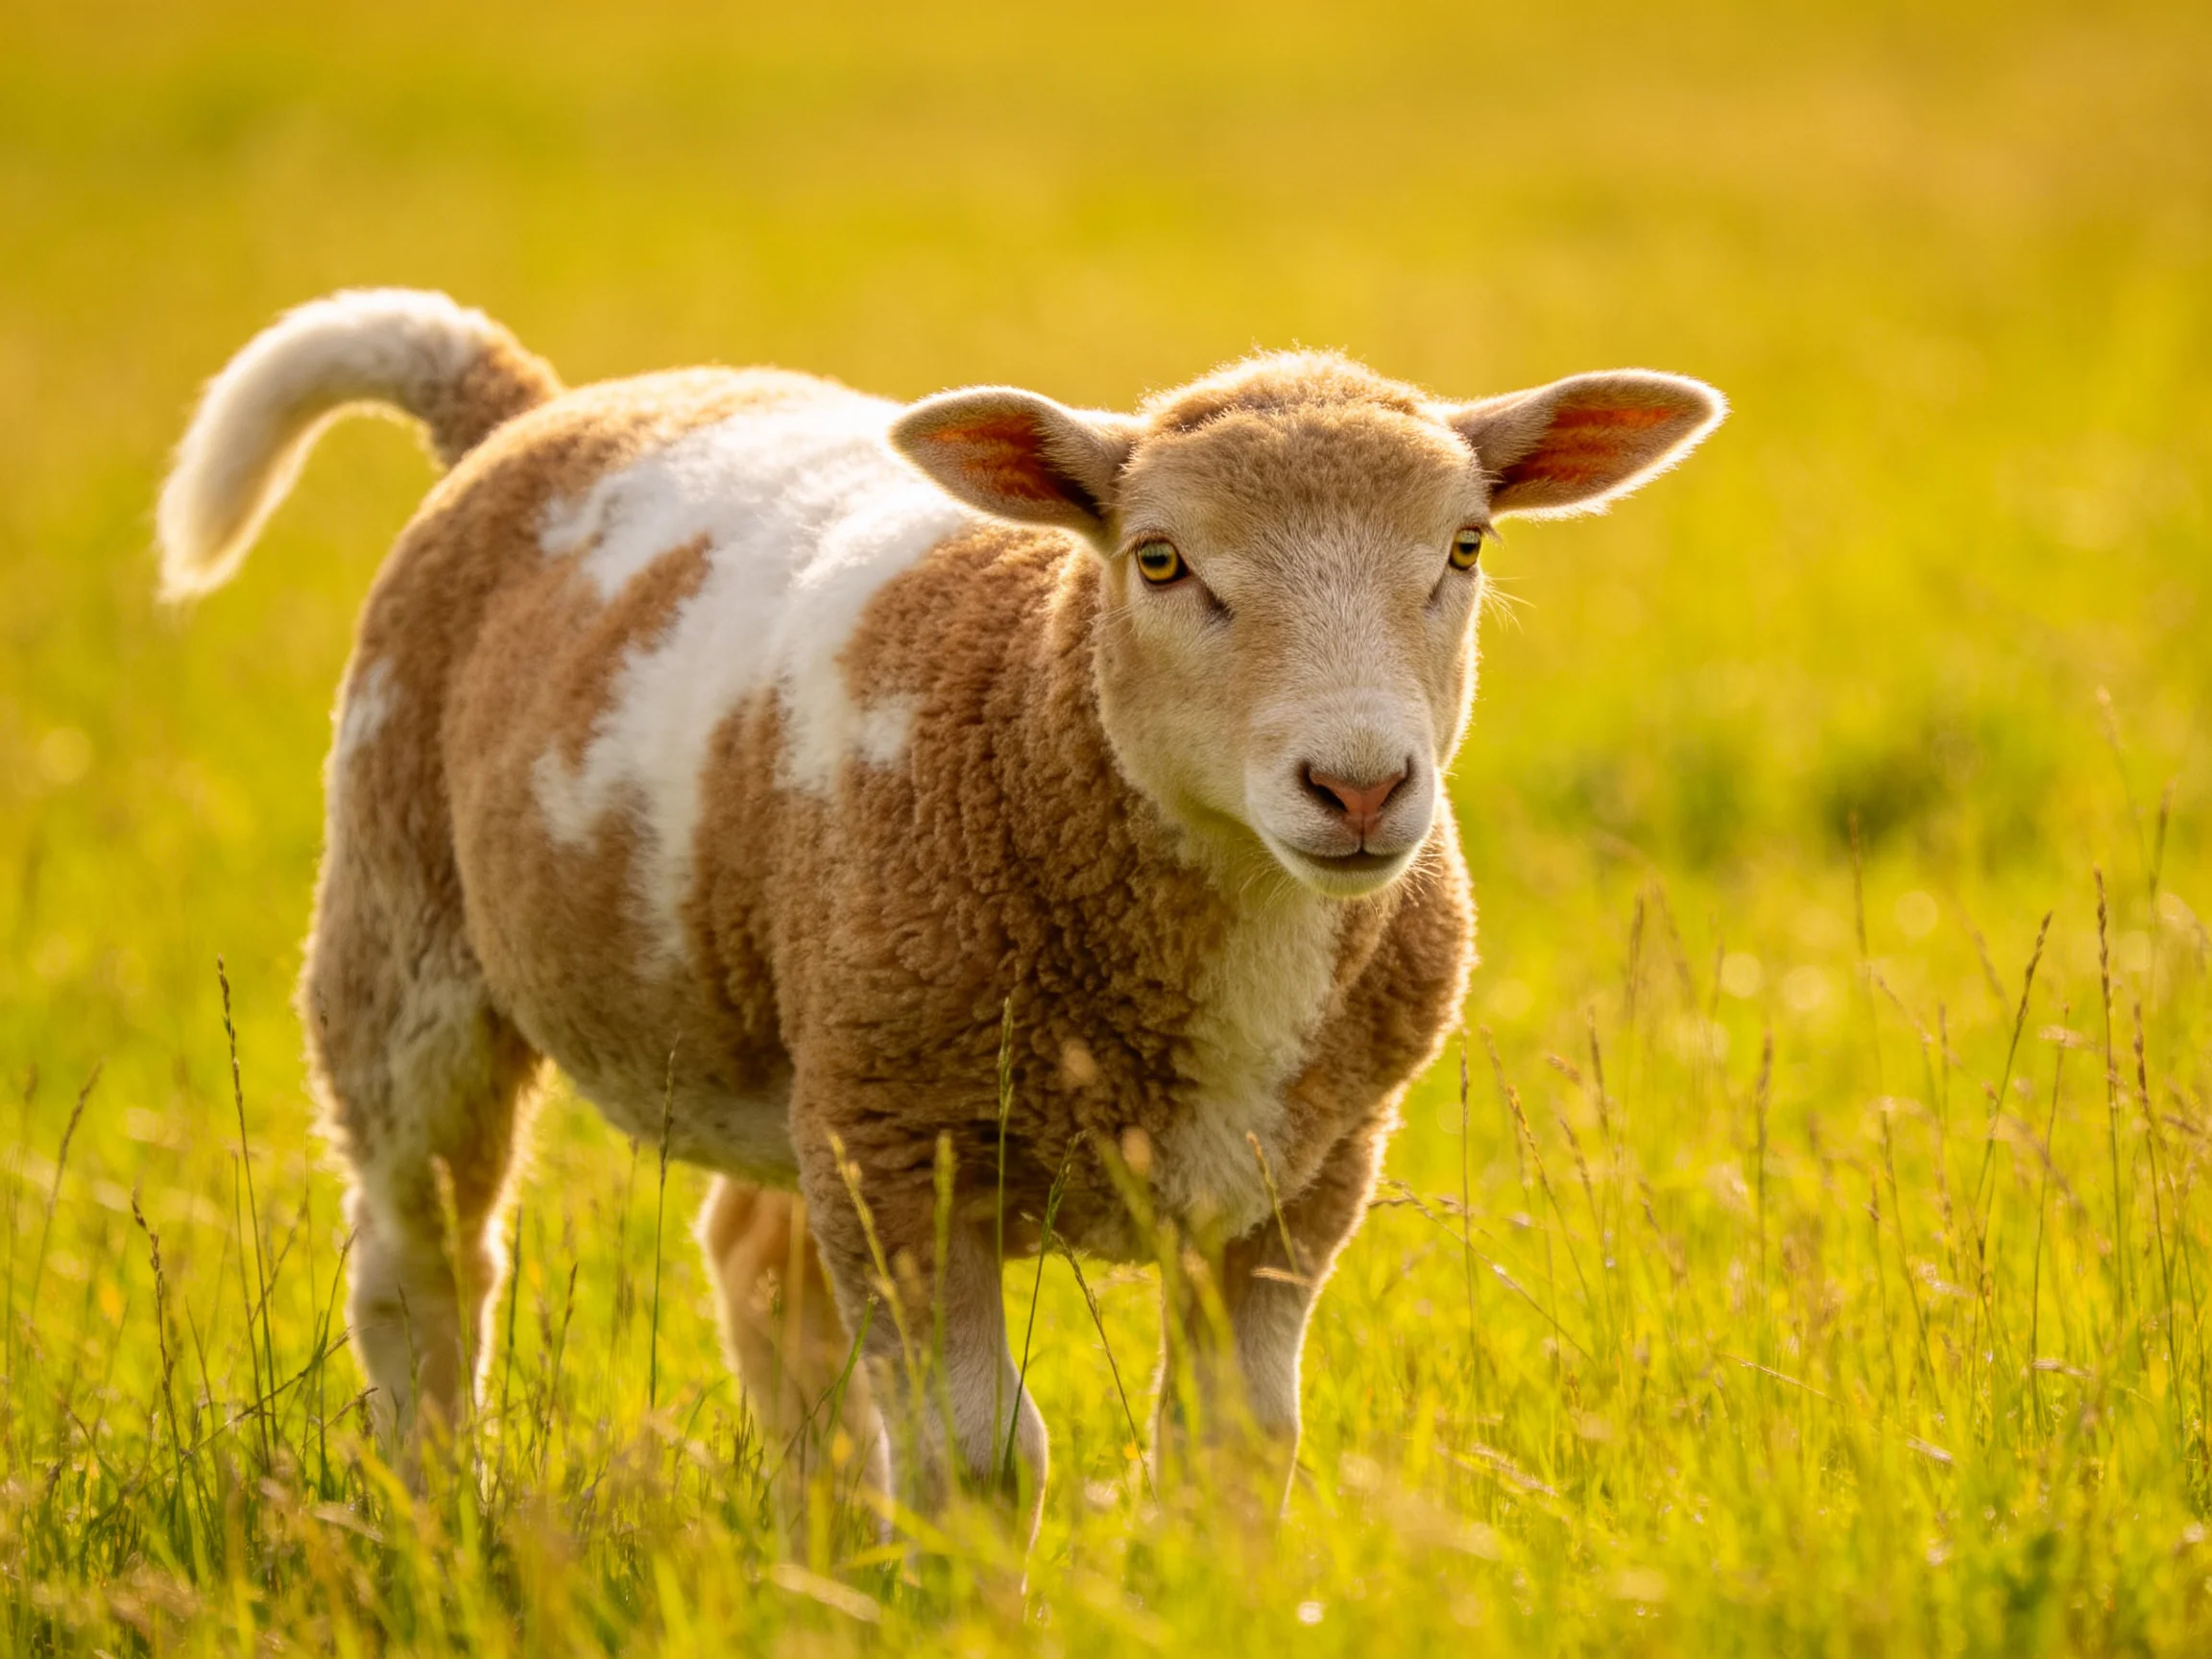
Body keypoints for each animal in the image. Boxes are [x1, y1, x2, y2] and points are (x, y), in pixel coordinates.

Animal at [157, 289, 1724, 1523]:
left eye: (1466, 548)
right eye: (1160, 560)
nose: (1358, 785)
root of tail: (533, 410)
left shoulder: (1308, 1167)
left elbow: (1230, 1454)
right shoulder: (910, 1148)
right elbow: (980, 1464)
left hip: (806, 1030)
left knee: (756, 1269)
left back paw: (828, 1535)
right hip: (409, 920)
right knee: (423, 1266)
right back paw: (436, 1508)